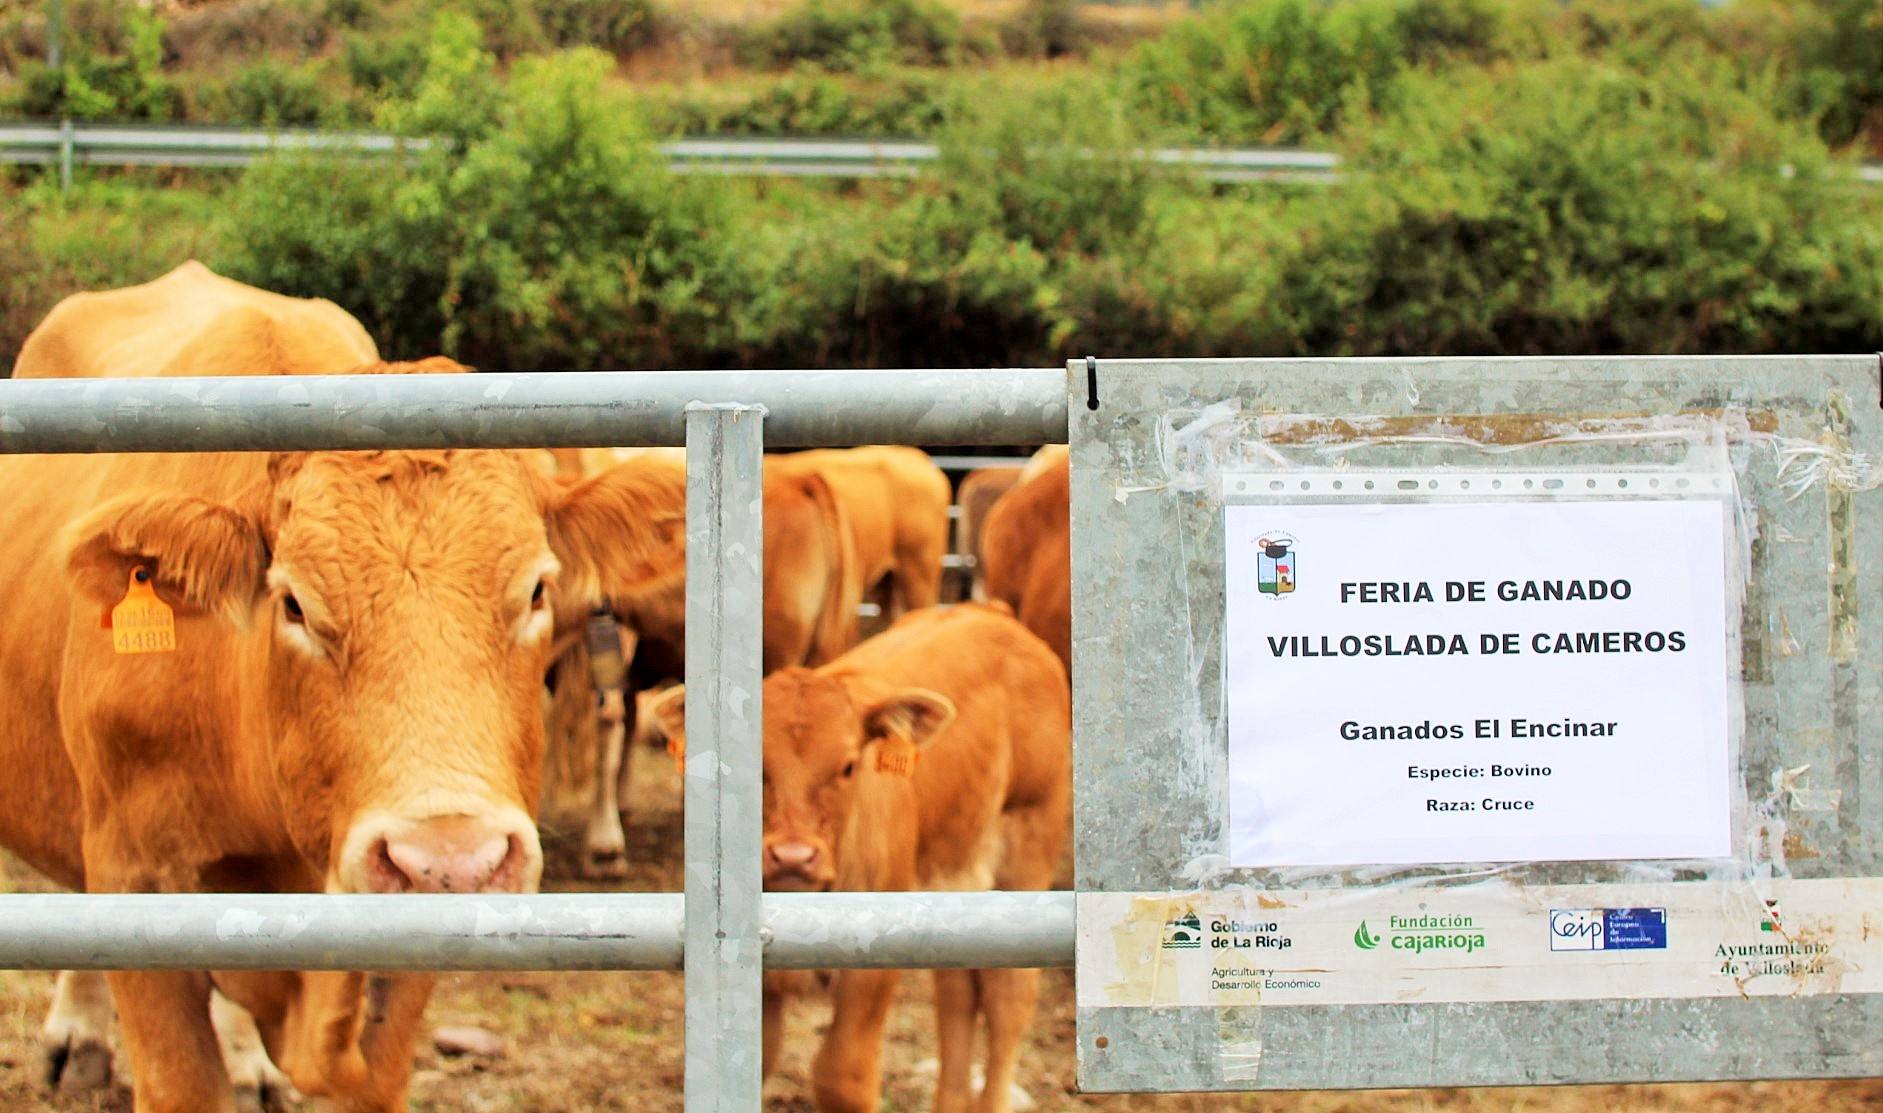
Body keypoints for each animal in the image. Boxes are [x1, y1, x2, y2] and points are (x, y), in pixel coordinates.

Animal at [647, 606, 1069, 1113]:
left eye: (848, 765)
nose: (793, 856)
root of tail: (990, 615)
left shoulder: (872, 968)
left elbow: (843, 1075)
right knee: (957, 992)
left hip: (1029, 848)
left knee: (1009, 997)